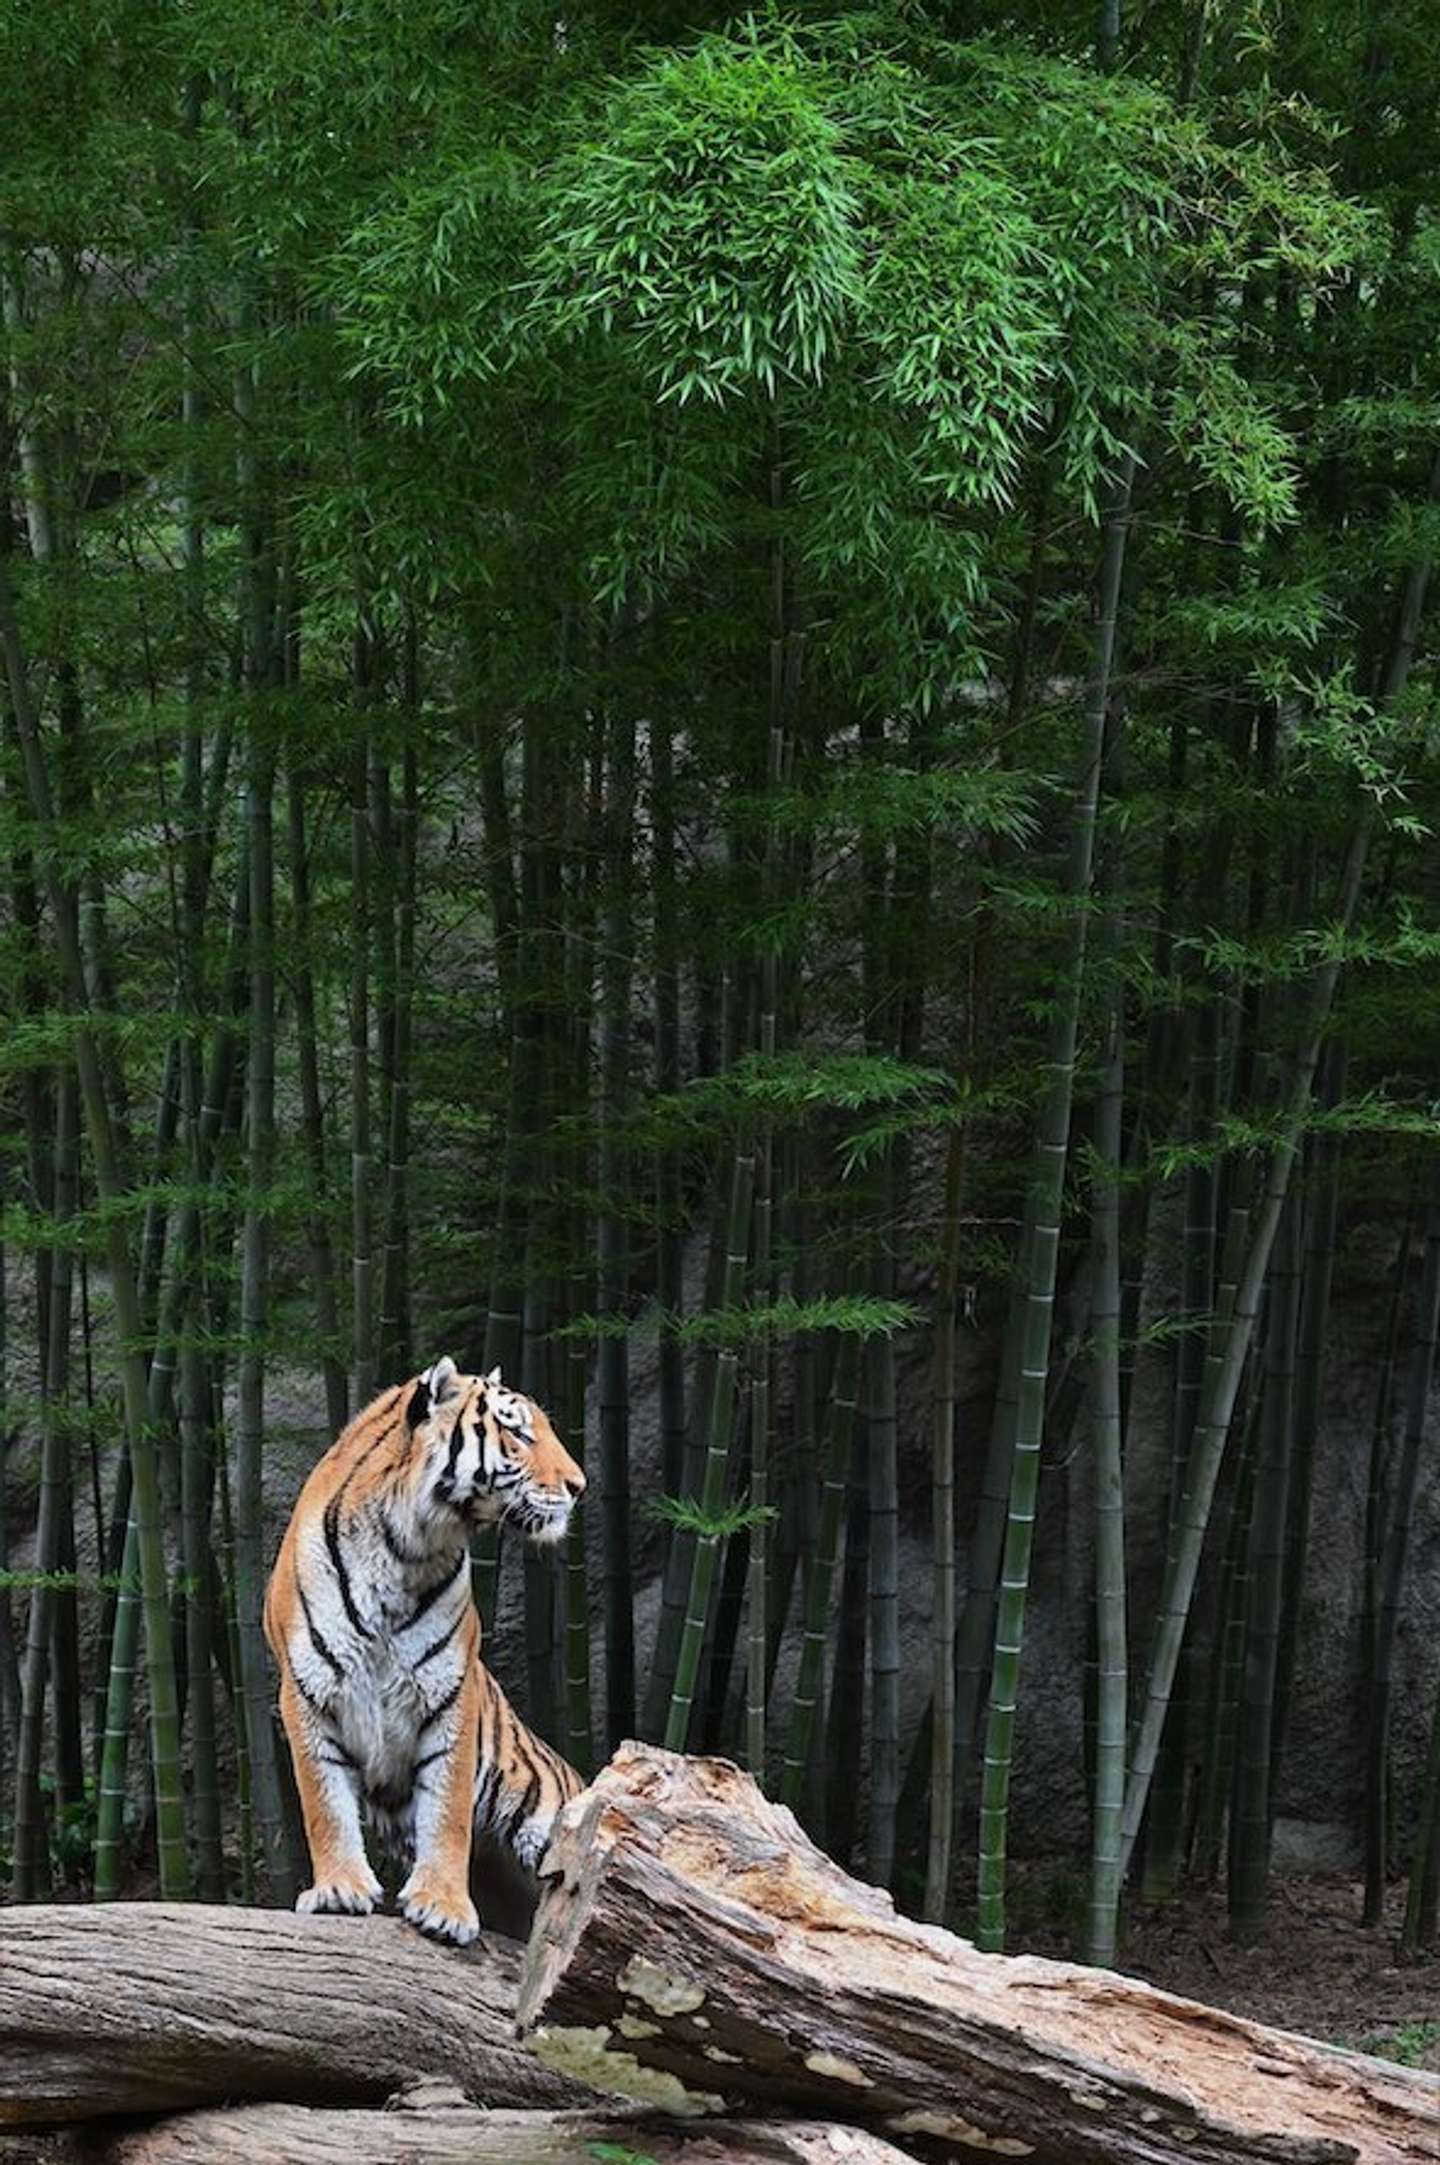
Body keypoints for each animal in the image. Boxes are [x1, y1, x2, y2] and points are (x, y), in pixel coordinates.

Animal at [264, 1350, 584, 1948]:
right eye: (517, 1431)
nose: (580, 1486)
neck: (404, 1547)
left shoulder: (448, 1693)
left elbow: (447, 1812)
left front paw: (442, 1906)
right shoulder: (307, 1692)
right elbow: (324, 1802)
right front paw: (339, 1889)